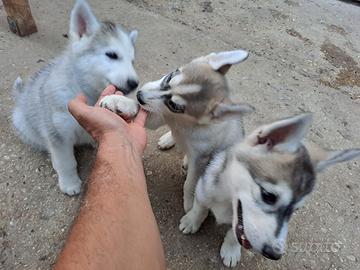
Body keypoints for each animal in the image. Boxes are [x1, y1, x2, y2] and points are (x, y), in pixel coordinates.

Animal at [12, 0, 139, 195]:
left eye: (132, 61)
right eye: (111, 55)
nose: (134, 83)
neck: (86, 90)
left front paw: (126, 104)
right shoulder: (58, 133)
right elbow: (66, 162)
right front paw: (69, 182)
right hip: (25, 124)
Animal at [180, 113, 360, 266]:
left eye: (296, 209)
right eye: (268, 196)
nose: (275, 254)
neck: (228, 199)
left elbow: (235, 233)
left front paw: (231, 249)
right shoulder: (203, 191)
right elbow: (199, 208)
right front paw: (191, 221)